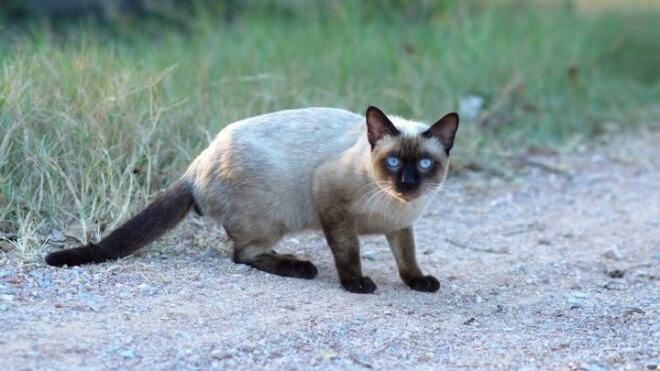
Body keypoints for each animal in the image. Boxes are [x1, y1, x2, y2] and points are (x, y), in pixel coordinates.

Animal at [45, 106, 458, 294]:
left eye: (424, 163)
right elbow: (348, 253)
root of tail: (198, 163)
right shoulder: (331, 204)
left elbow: (407, 258)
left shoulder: (402, 226)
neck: (395, 204)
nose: (407, 183)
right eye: (393, 162)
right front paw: (356, 284)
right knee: (242, 254)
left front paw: (418, 282)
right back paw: (299, 266)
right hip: (274, 217)